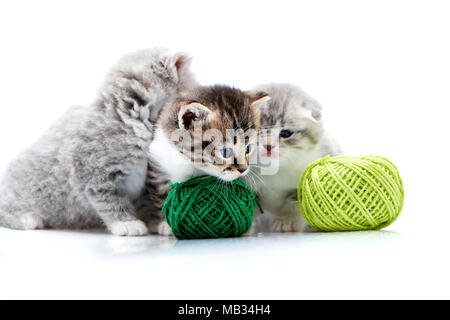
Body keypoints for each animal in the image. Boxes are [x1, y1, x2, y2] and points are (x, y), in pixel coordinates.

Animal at [0, 48, 197, 236]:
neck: (129, 120)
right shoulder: (95, 175)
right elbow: (110, 202)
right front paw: (127, 223)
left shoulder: (146, 180)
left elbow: (152, 201)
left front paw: (160, 222)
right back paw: (29, 218)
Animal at [146, 85, 268, 235]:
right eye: (225, 152)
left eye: (248, 148)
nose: (243, 169)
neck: (190, 163)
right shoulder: (157, 162)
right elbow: (161, 194)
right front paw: (166, 224)